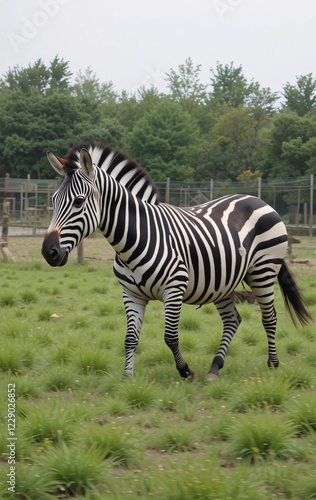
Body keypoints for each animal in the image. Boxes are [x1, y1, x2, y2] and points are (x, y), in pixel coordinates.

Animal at [41, 143, 312, 380]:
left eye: (78, 201)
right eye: (53, 201)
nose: (48, 252)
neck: (137, 238)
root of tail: (258, 199)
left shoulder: (174, 288)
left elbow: (170, 336)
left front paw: (185, 371)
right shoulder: (131, 294)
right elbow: (130, 337)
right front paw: (127, 376)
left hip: (263, 271)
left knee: (269, 317)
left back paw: (273, 364)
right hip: (223, 282)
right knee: (232, 320)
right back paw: (215, 368)